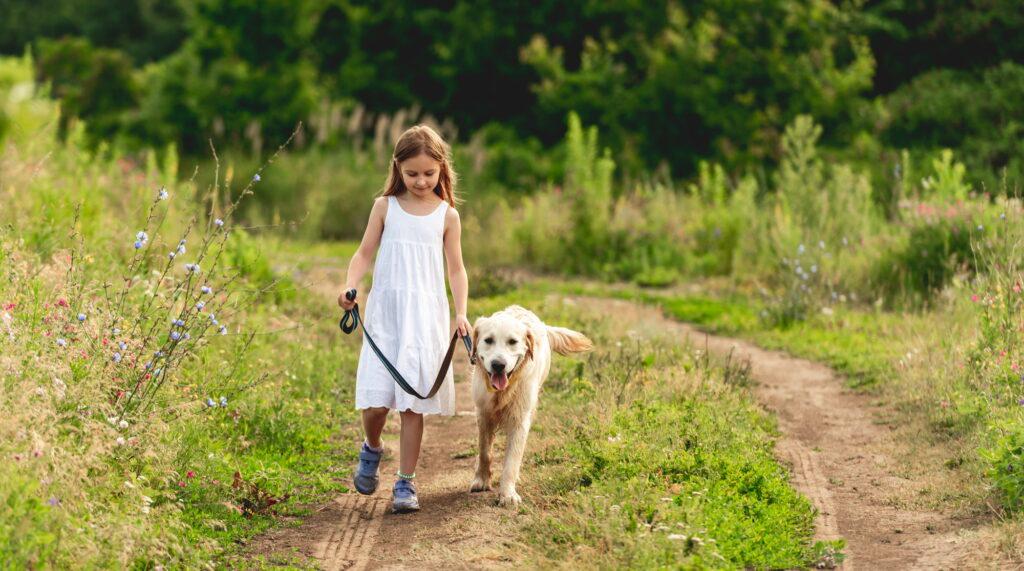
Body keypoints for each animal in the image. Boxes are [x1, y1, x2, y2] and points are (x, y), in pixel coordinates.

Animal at [468, 306, 593, 507]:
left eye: (512, 342)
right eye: (488, 340)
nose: (498, 365)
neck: (503, 391)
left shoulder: (520, 419)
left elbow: (512, 460)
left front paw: (508, 493)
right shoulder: (483, 414)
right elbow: (484, 451)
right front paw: (481, 480)